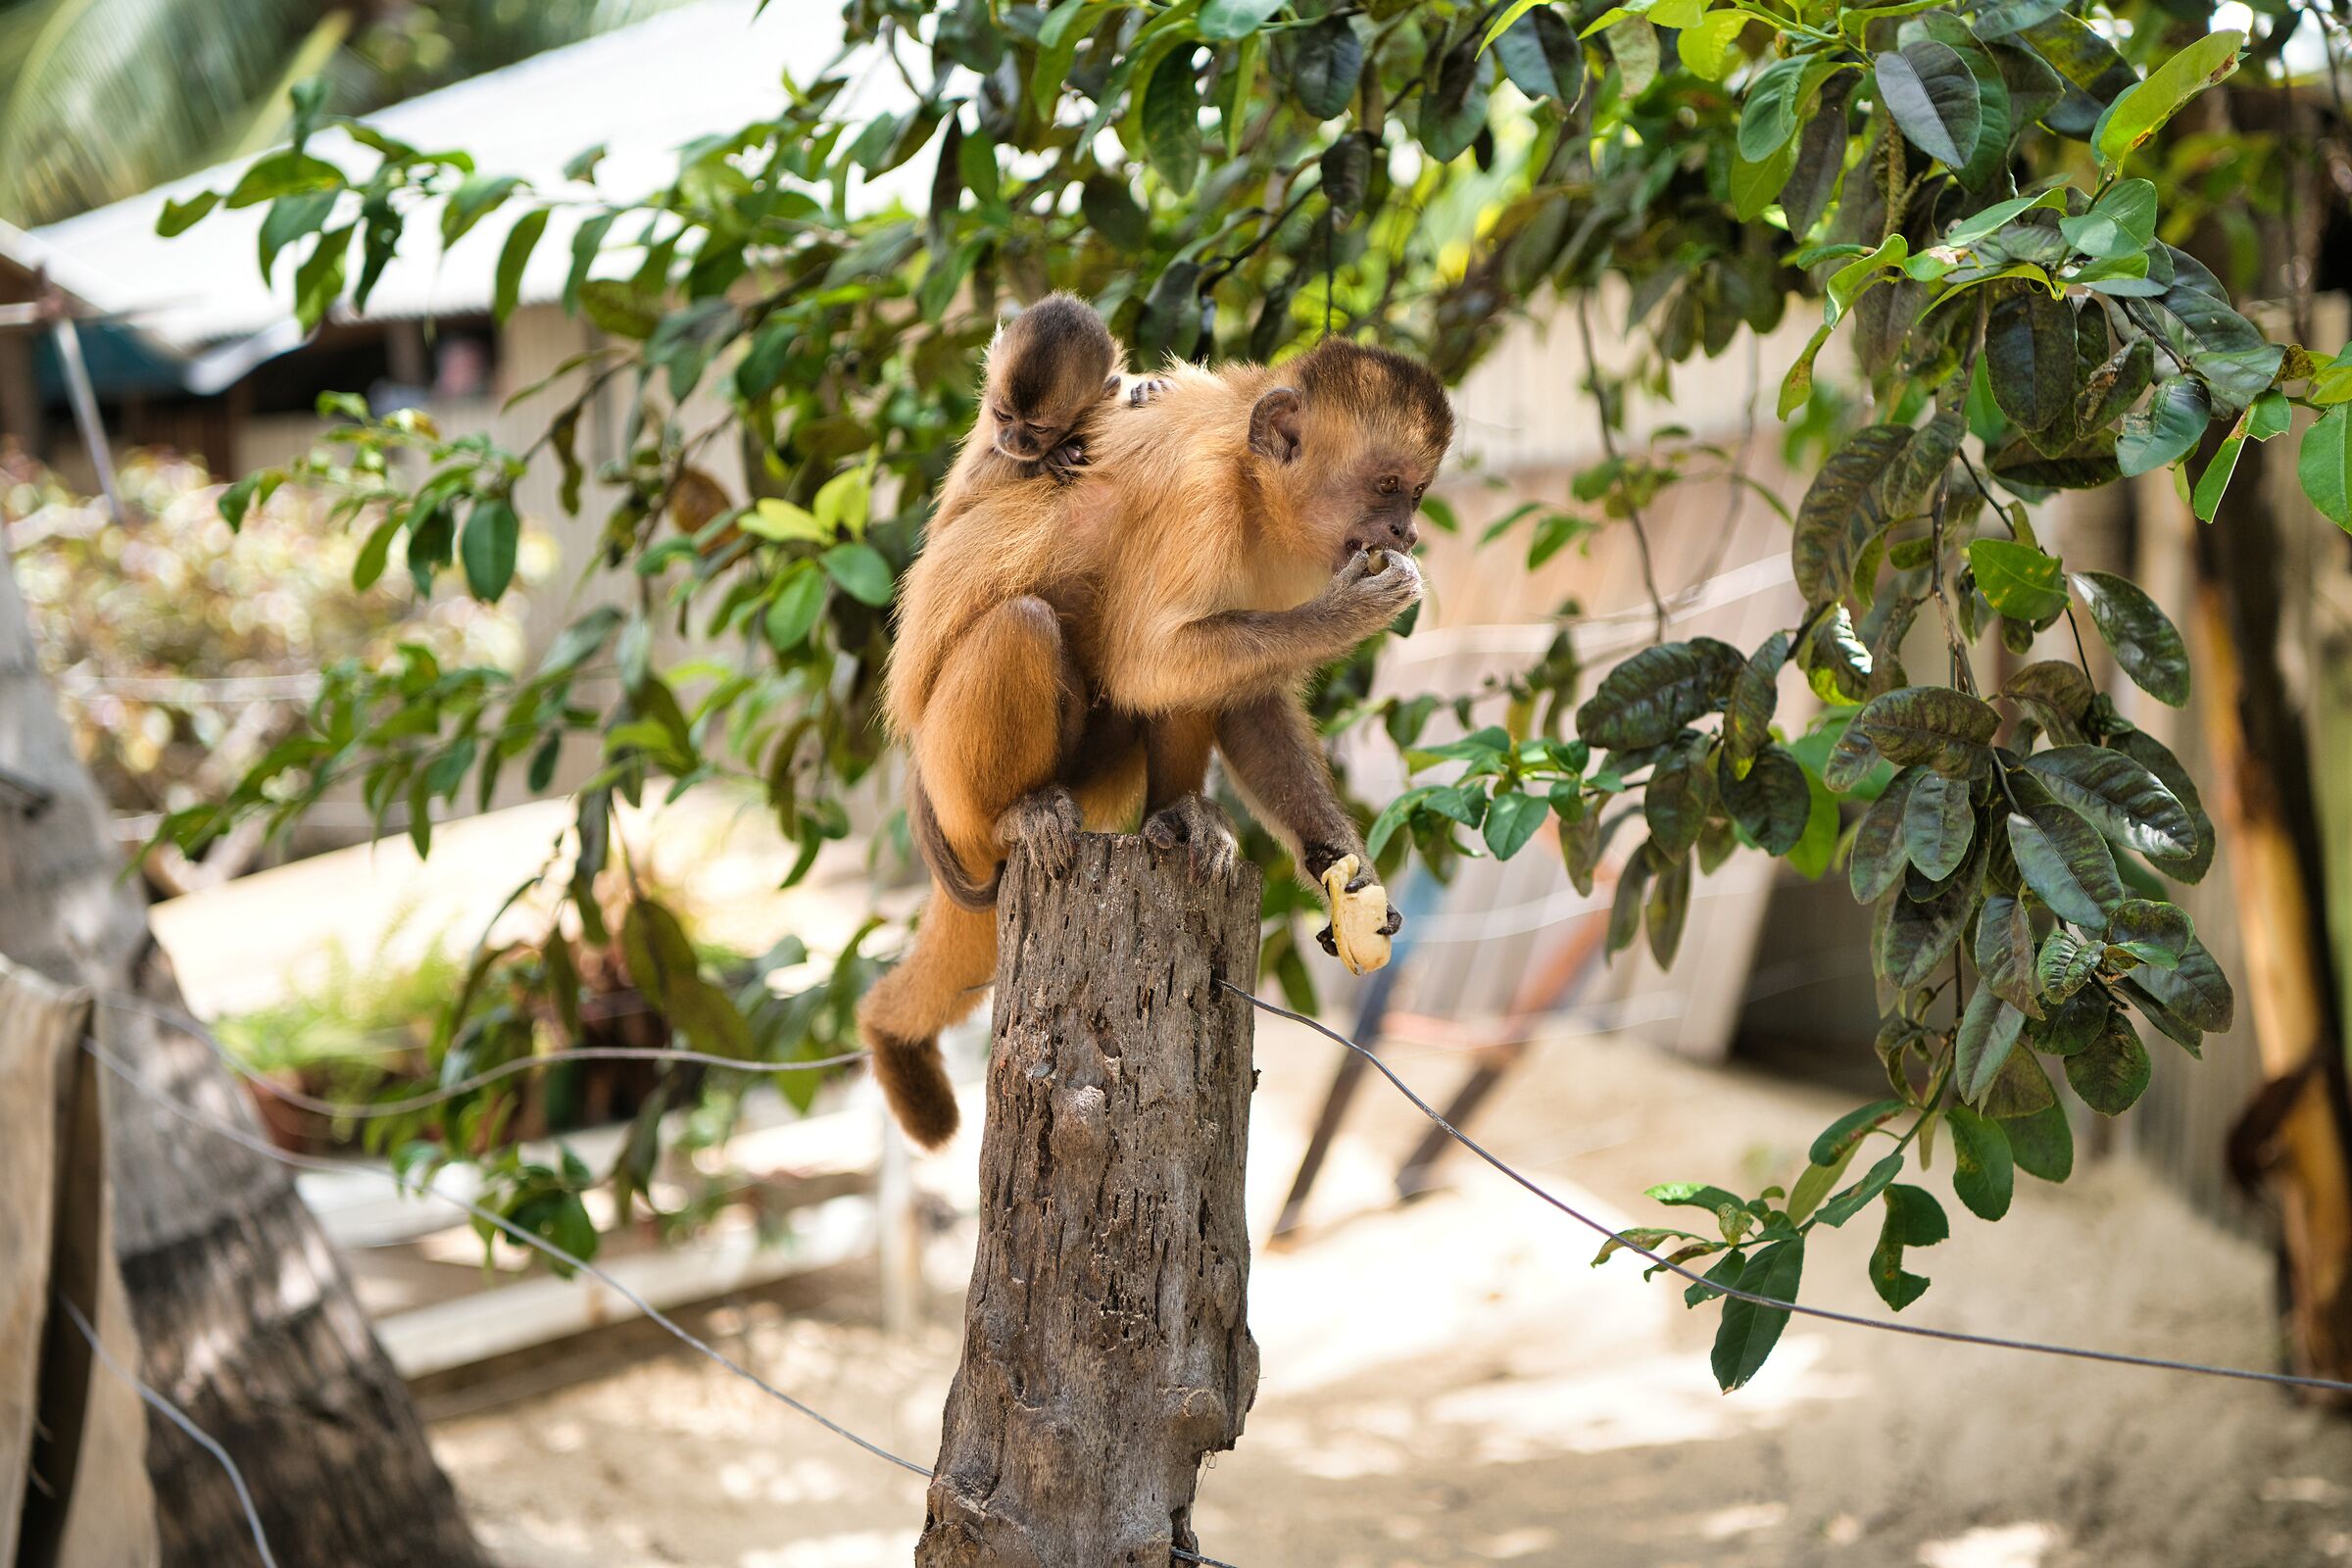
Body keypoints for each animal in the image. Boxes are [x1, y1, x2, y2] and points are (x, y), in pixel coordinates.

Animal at [860, 336, 1453, 1149]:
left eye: (1416, 494)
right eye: (1387, 486)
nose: (1406, 533)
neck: (1248, 478)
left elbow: (1245, 705)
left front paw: (1344, 868)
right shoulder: (1195, 495)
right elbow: (1148, 661)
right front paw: (1356, 610)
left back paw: (1178, 816)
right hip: (954, 784)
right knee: (1027, 626)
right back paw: (1018, 816)